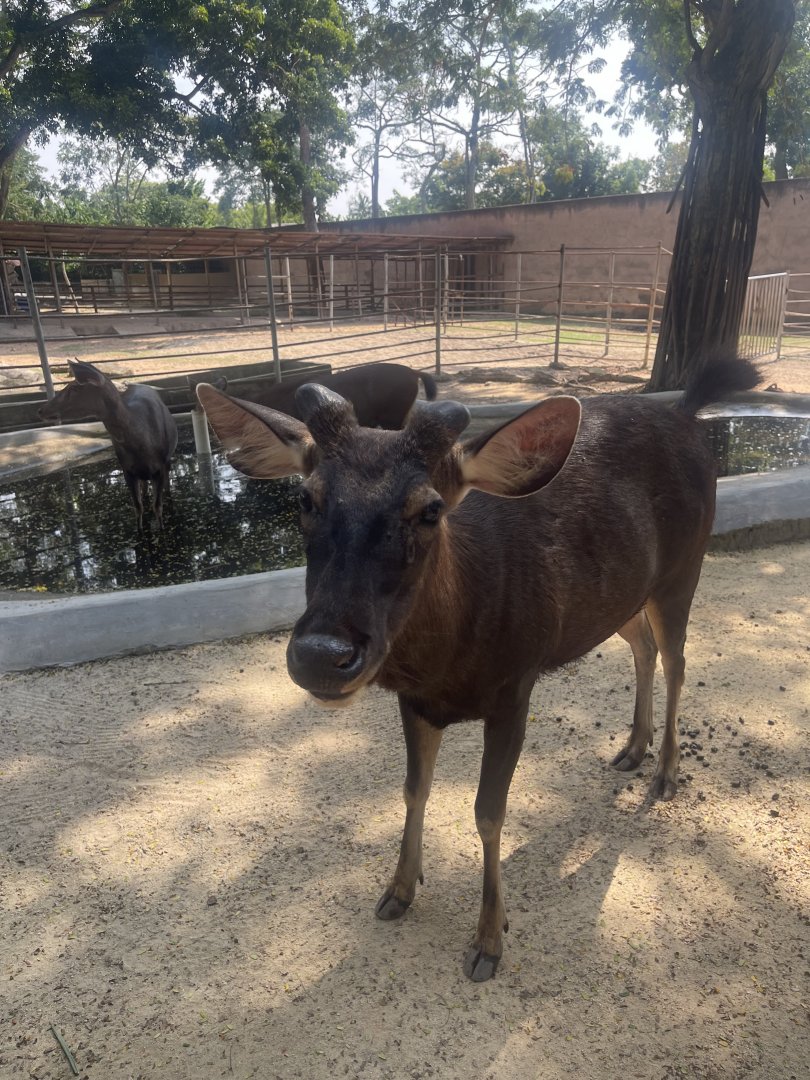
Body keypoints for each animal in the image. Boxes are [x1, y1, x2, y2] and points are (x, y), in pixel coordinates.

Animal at [39, 360, 178, 531]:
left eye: (74, 387)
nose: (40, 410)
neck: (144, 443)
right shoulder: (127, 469)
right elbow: (138, 507)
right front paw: (139, 531)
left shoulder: (161, 466)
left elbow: (157, 506)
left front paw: (162, 529)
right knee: (145, 490)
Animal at [196, 354, 760, 982]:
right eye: (305, 499)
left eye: (430, 508)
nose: (322, 655)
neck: (449, 668)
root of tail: (686, 413)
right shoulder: (414, 701)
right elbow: (413, 790)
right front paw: (398, 891)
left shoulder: (516, 687)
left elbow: (489, 813)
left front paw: (489, 940)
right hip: (620, 596)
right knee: (643, 647)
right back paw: (631, 749)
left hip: (685, 567)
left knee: (679, 660)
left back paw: (665, 773)